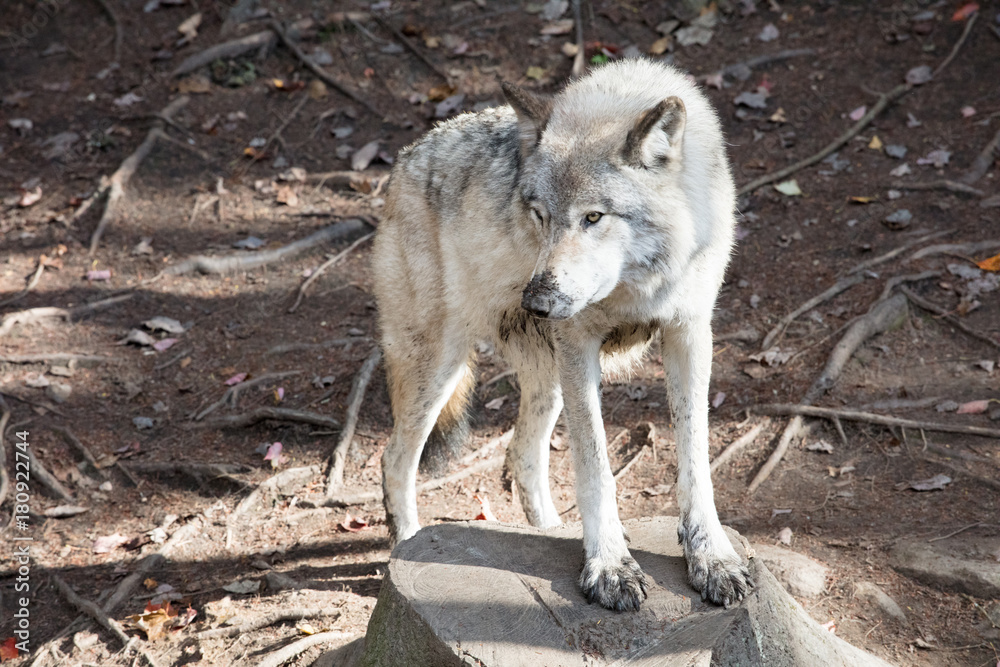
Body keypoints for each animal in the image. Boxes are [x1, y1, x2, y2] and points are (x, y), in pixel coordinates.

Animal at [371, 59, 752, 612]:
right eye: (540, 215)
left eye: (593, 217)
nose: (538, 302)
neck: (637, 286)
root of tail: (403, 161)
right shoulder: (579, 344)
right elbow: (595, 469)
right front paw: (609, 566)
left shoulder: (689, 333)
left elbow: (696, 461)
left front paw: (712, 558)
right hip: (442, 367)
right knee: (396, 459)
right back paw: (406, 548)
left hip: (545, 379)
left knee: (521, 456)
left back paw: (550, 532)